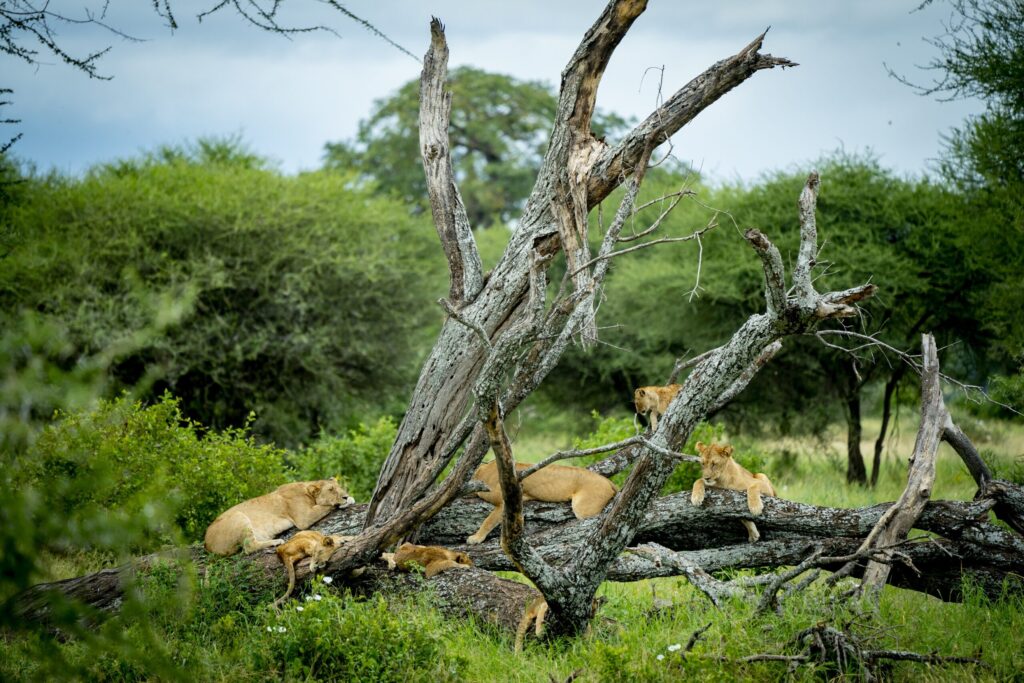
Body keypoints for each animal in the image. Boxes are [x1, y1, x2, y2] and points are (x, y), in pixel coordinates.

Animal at [204, 478, 355, 556]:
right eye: (331, 490)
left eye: (339, 487)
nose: (345, 496)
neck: (307, 491)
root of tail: (206, 543)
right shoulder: (304, 518)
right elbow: (326, 506)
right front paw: (344, 502)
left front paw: (350, 499)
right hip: (238, 516)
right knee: (249, 547)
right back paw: (276, 542)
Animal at [466, 461, 618, 545]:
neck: (482, 472)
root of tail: (608, 481)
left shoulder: (504, 501)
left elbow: (488, 521)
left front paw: (475, 538)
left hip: (582, 509)